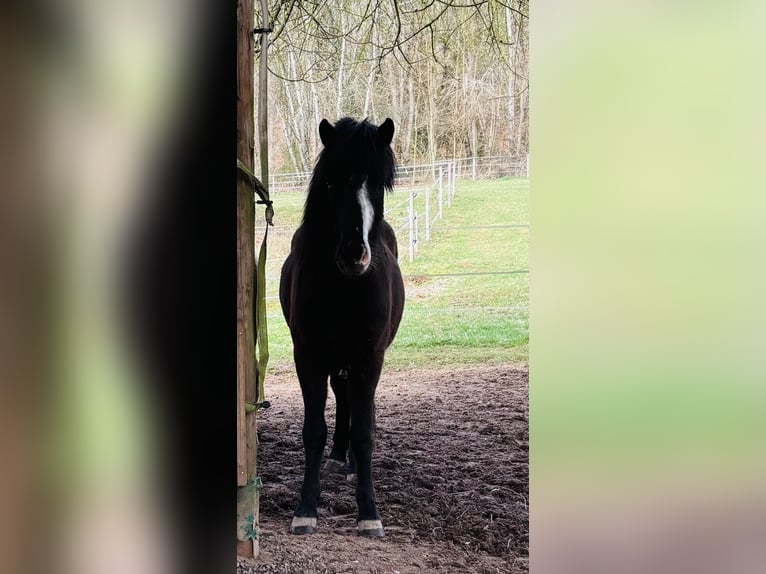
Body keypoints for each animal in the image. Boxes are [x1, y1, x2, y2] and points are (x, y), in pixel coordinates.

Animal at [279, 117, 405, 538]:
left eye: (378, 183)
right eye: (332, 183)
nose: (354, 255)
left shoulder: (369, 357)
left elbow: (365, 433)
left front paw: (369, 514)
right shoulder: (309, 357)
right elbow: (313, 431)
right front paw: (305, 509)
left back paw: (348, 462)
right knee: (342, 396)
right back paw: (338, 457)